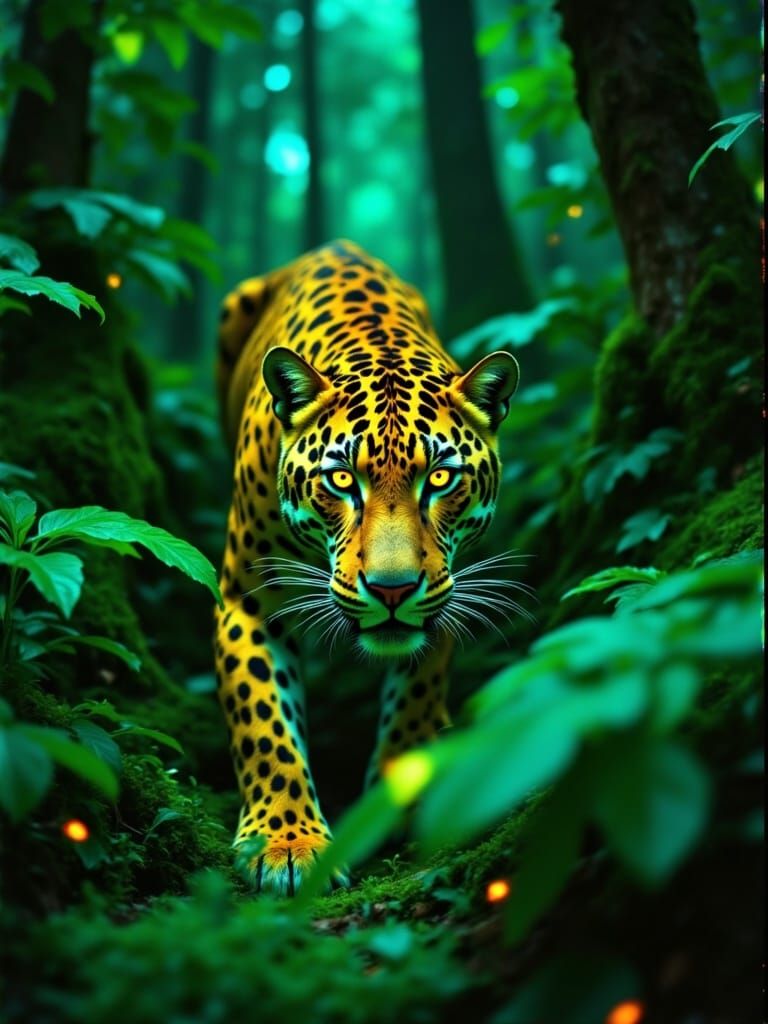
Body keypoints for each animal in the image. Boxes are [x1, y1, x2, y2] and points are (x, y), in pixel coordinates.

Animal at [213, 240, 520, 895]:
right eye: (341, 481)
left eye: (440, 478)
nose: (393, 589)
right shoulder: (247, 599)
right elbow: (263, 719)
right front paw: (286, 841)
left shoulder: (448, 586)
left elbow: (418, 688)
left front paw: (405, 793)